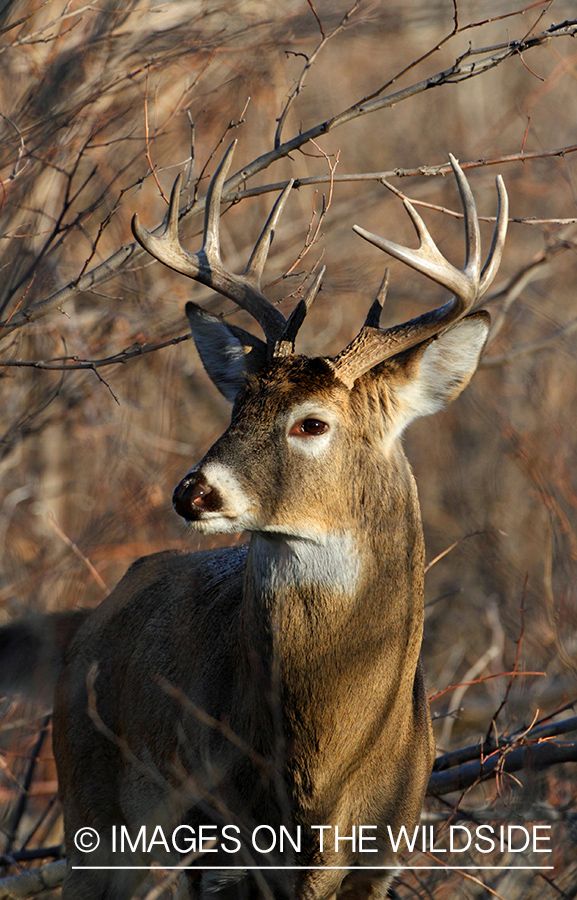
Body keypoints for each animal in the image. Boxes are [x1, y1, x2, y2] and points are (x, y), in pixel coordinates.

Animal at [9, 142, 506, 900]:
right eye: (236, 405)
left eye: (312, 422)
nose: (192, 492)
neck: (323, 776)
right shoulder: (226, 837)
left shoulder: (383, 848)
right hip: (94, 806)